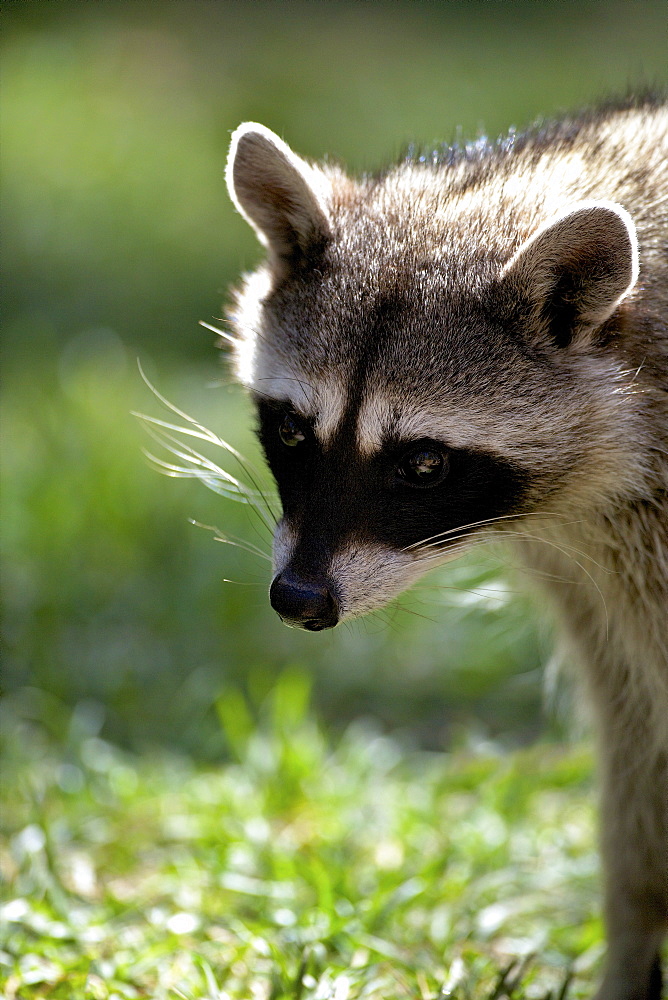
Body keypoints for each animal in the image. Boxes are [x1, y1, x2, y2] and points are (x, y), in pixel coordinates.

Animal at [226, 99, 668, 1000]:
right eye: (292, 432)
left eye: (423, 464)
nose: (299, 600)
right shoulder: (599, 578)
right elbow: (636, 743)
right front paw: (633, 935)